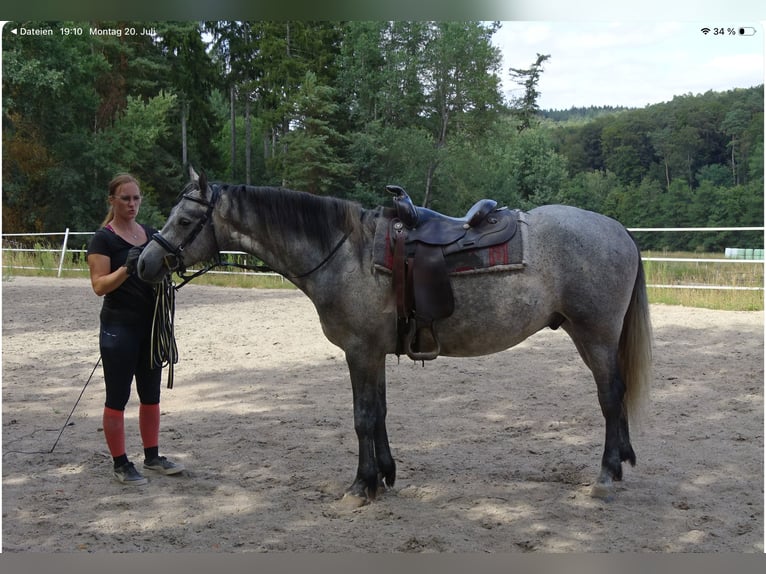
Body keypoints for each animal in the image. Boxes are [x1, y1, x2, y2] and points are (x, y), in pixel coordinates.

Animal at [138, 168, 652, 504]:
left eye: (184, 221)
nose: (144, 263)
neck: (345, 252)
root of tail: (619, 230)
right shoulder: (376, 353)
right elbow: (380, 413)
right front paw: (385, 475)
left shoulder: (360, 351)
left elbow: (363, 417)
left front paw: (361, 485)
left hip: (595, 336)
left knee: (611, 396)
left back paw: (606, 476)